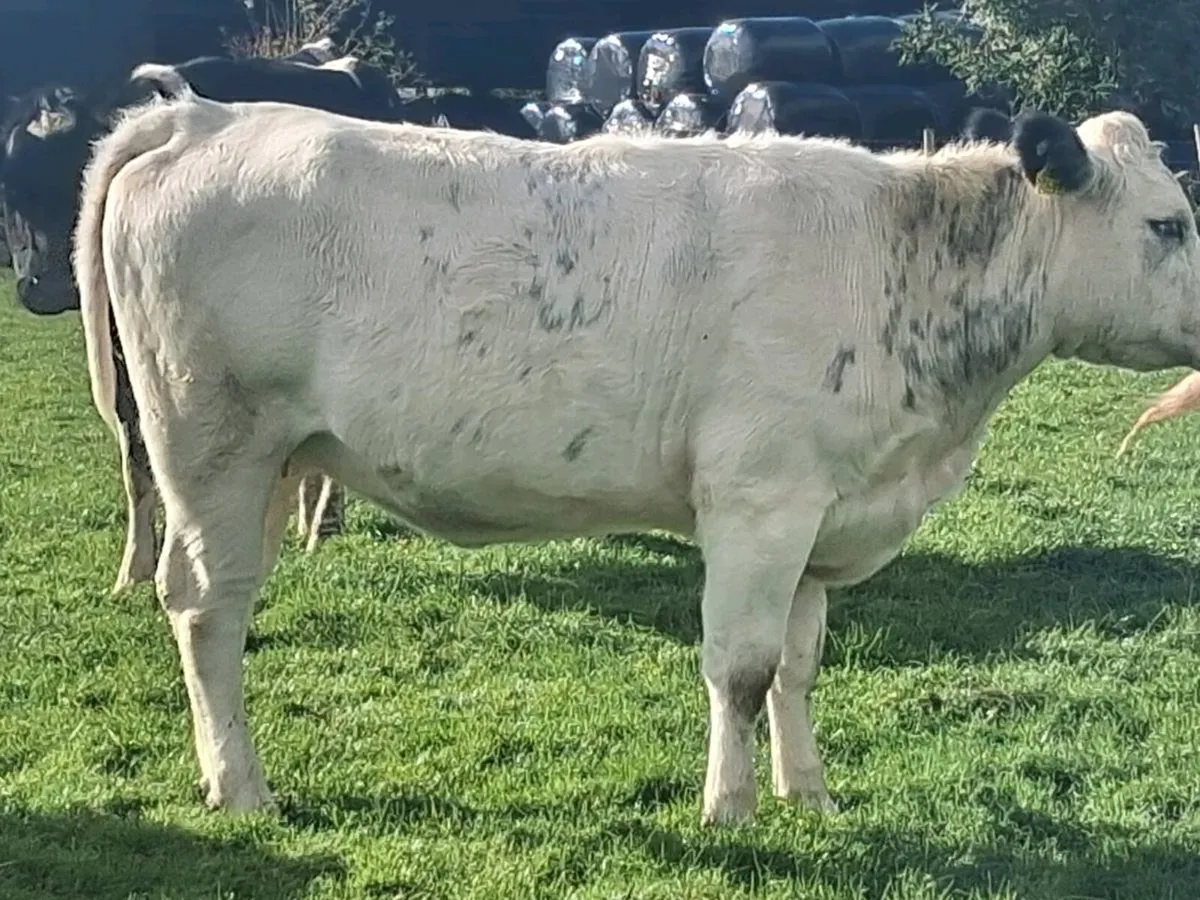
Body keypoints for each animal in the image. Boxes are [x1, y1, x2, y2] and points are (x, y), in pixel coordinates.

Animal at [72, 89, 1200, 824]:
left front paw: (809, 795)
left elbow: (798, 667)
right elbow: (740, 669)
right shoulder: (757, 501)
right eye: (1168, 224)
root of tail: (206, 114)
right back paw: (242, 789)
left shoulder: (818, 515)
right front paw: (731, 812)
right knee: (207, 607)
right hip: (212, 444)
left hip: (259, 460)